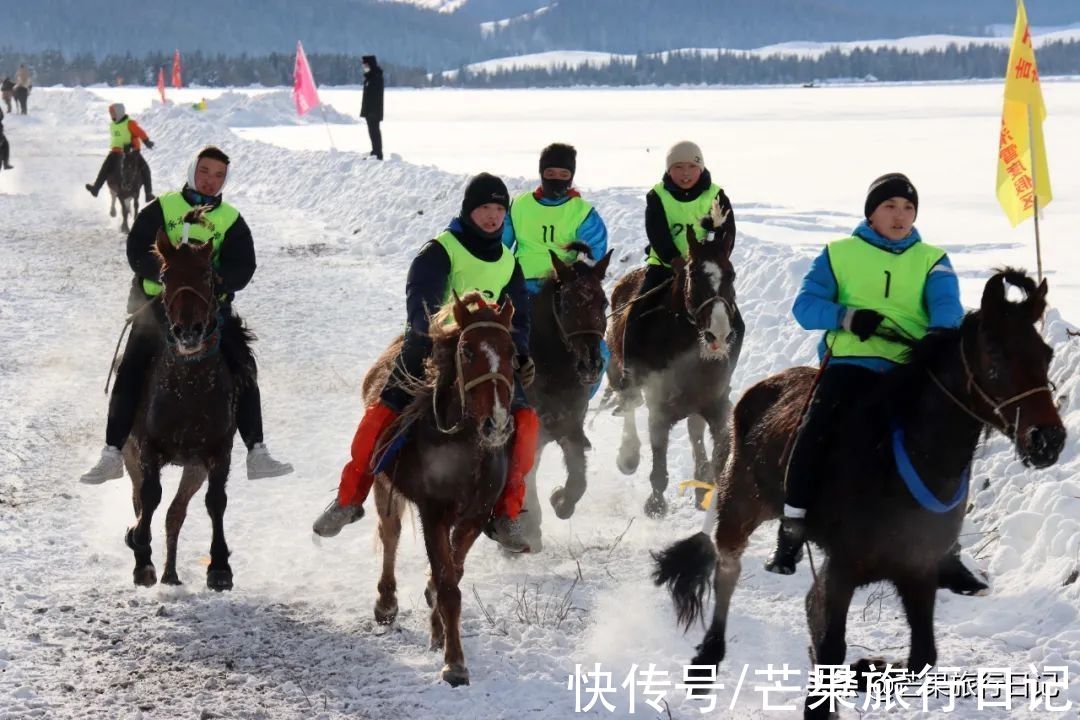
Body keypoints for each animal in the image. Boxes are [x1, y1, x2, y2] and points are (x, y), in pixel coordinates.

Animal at [123, 216, 253, 595]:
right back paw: (145, 557)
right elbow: (149, 496)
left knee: (175, 513)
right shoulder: (147, 449)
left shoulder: (217, 452)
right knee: (140, 499)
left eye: (207, 274)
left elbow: (216, 502)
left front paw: (220, 568)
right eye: (165, 276)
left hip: (192, 468)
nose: (189, 331)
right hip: (130, 455)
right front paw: (140, 551)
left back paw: (171, 573)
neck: (189, 389)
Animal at [360, 291, 516, 686]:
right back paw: (386, 603)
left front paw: (439, 632)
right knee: (390, 533)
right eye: (467, 351)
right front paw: (455, 664)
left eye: (512, 351)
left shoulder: (475, 516)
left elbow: (451, 574)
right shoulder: (433, 512)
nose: (497, 423)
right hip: (384, 483)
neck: (462, 447)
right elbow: (447, 587)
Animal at [518, 245, 613, 548]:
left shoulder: (570, 426)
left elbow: (578, 479)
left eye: (604, 302)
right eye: (568, 303)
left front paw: (560, 500)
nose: (591, 364)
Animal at [604, 209, 747, 518]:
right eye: (694, 274)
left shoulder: (716, 404)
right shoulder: (659, 406)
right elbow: (658, 461)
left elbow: (717, 447)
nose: (719, 333)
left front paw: (710, 486)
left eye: (731, 274)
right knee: (628, 403)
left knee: (694, 431)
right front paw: (656, 504)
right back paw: (628, 456)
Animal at [652, 269, 1067, 720]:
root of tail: (760, 389)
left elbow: (921, 657)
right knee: (726, 568)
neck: (903, 460)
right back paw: (707, 657)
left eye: (1045, 354)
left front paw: (868, 667)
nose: (1048, 440)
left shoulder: (918, 570)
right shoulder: (843, 568)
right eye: (993, 353)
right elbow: (830, 646)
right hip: (739, 503)